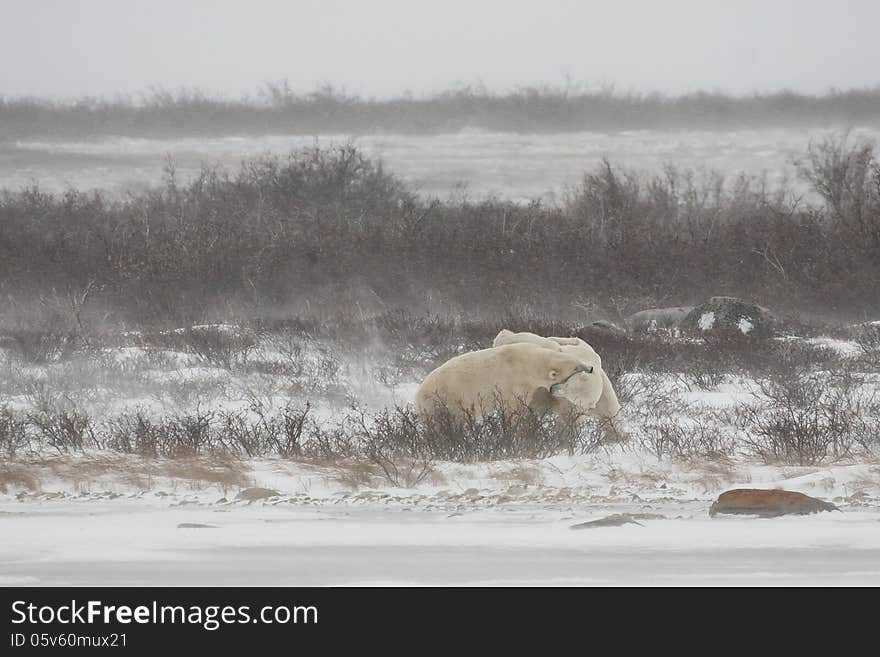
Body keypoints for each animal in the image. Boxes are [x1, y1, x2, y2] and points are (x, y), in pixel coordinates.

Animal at [416, 344, 596, 420]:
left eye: (578, 361)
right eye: (576, 367)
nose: (590, 367)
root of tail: (418, 393)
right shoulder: (515, 381)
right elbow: (514, 406)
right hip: (444, 397)